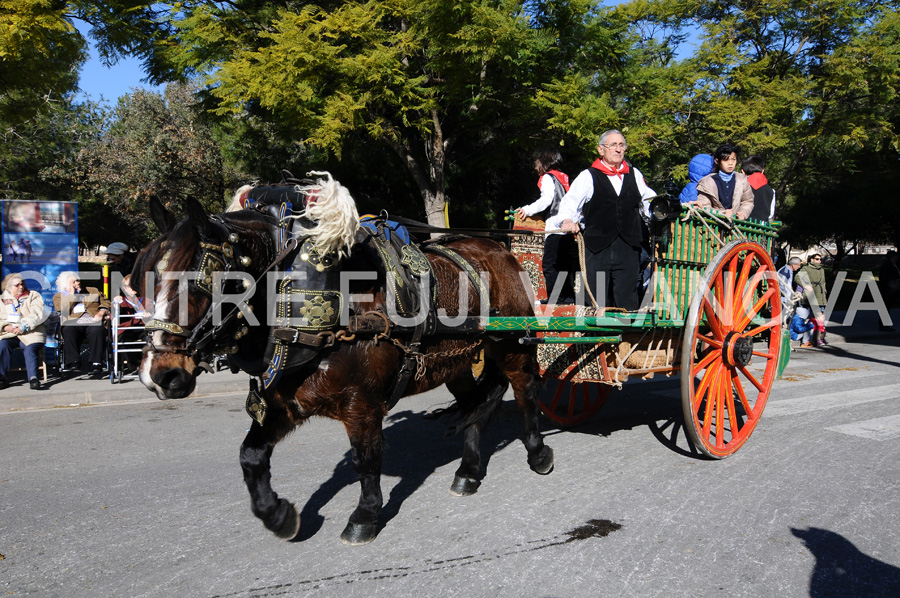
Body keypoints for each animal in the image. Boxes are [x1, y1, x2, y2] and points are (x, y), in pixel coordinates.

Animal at [132, 172, 556, 544]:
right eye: (146, 279)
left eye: (198, 282)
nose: (160, 375)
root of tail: (498, 249)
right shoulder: (285, 401)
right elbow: (250, 456)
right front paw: (279, 515)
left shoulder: (361, 402)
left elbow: (365, 459)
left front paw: (364, 517)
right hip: (456, 364)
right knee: (472, 406)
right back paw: (468, 471)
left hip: (513, 346)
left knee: (524, 392)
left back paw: (538, 454)